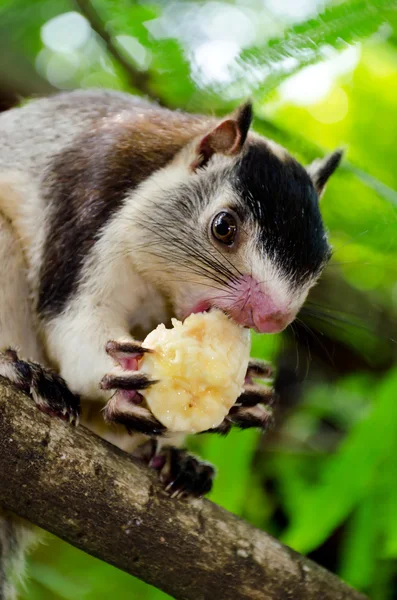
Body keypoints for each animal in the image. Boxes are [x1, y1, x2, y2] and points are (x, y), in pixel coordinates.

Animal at [0, 88, 340, 596]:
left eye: (325, 257)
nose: (274, 316)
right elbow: (77, 326)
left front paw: (242, 395)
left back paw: (173, 460)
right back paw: (26, 374)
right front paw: (125, 375)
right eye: (223, 226)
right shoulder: (89, 212)